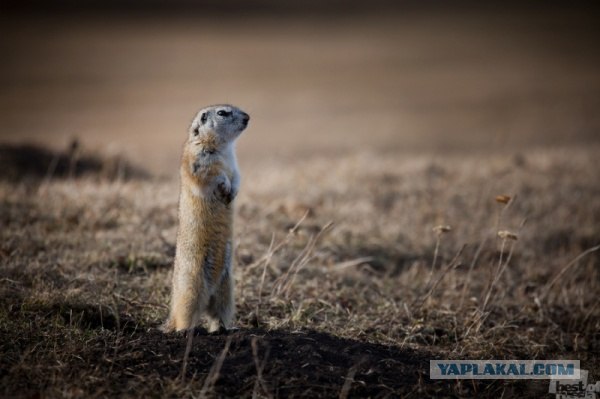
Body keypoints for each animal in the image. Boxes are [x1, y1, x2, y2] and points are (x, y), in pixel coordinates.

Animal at [162, 104, 248, 334]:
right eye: (222, 113)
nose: (248, 117)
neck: (223, 148)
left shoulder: (235, 164)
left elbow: (237, 176)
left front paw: (233, 192)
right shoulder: (199, 160)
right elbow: (212, 174)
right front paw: (224, 186)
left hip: (226, 291)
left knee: (218, 314)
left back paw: (226, 329)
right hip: (191, 288)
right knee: (185, 315)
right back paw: (184, 330)